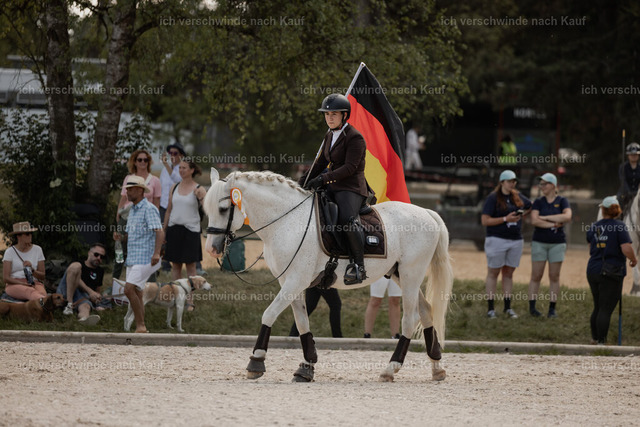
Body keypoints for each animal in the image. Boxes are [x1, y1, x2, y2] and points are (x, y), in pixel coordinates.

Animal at [203, 168, 454, 382]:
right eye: (206, 210)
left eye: (223, 209)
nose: (212, 248)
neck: (287, 221)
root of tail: (427, 213)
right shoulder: (290, 281)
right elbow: (302, 322)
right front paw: (306, 367)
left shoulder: (295, 281)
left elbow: (269, 314)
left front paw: (256, 361)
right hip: (400, 274)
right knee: (426, 310)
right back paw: (437, 368)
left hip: (411, 273)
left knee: (410, 318)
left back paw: (390, 369)